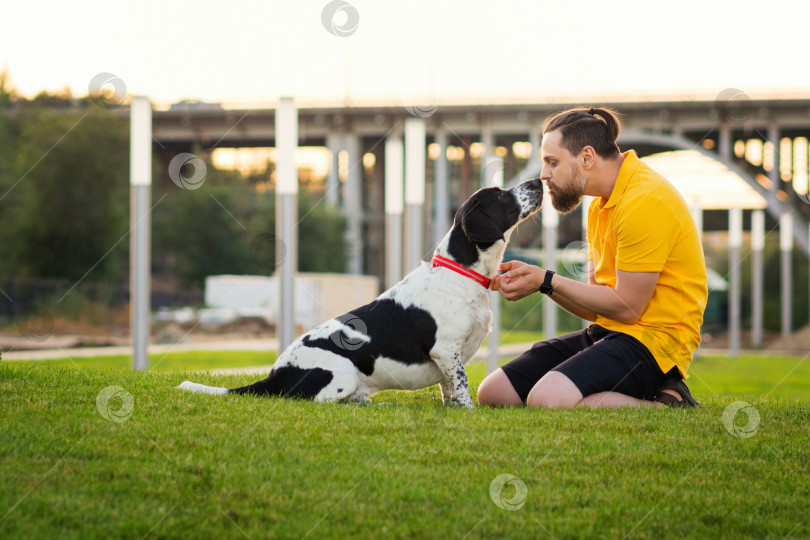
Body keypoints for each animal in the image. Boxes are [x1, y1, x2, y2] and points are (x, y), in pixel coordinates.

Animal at [177, 179, 544, 408]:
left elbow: (449, 387)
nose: (538, 182)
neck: (461, 273)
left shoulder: (448, 359)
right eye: (500, 195)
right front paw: (467, 411)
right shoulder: (447, 350)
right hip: (340, 374)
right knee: (322, 401)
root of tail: (273, 376)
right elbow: (462, 385)